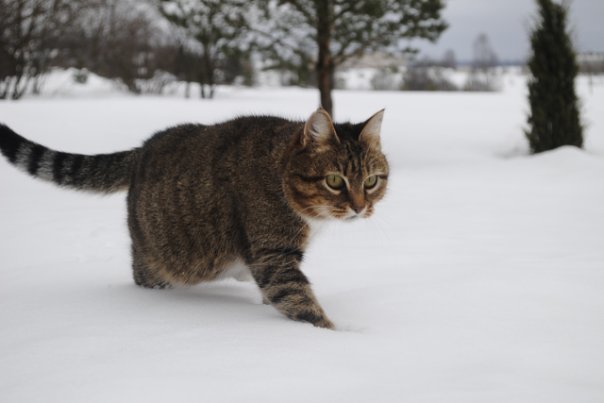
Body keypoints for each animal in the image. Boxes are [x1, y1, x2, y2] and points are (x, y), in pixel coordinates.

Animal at [0, 109, 390, 330]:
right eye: (335, 181)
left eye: (371, 181)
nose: (359, 207)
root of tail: (141, 150)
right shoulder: (273, 256)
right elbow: (300, 302)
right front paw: (336, 336)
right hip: (160, 261)